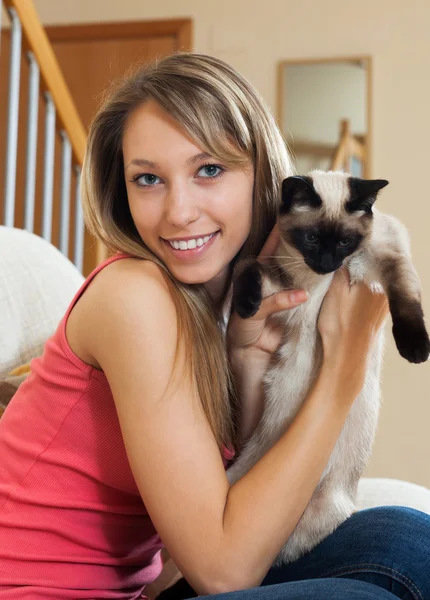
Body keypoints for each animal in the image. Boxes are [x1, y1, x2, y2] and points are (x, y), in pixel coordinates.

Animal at [227, 171, 428, 564]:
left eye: (345, 241)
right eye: (312, 238)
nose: (327, 263)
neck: (317, 280)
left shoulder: (387, 258)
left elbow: (407, 300)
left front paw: (416, 350)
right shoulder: (283, 284)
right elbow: (247, 267)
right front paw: (244, 307)